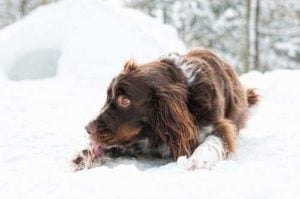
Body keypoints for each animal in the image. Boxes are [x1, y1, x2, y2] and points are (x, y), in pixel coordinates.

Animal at [72, 48, 258, 171]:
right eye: (108, 96)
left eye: (125, 100)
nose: (88, 128)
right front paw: (85, 155)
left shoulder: (220, 125)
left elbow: (214, 142)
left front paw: (197, 161)